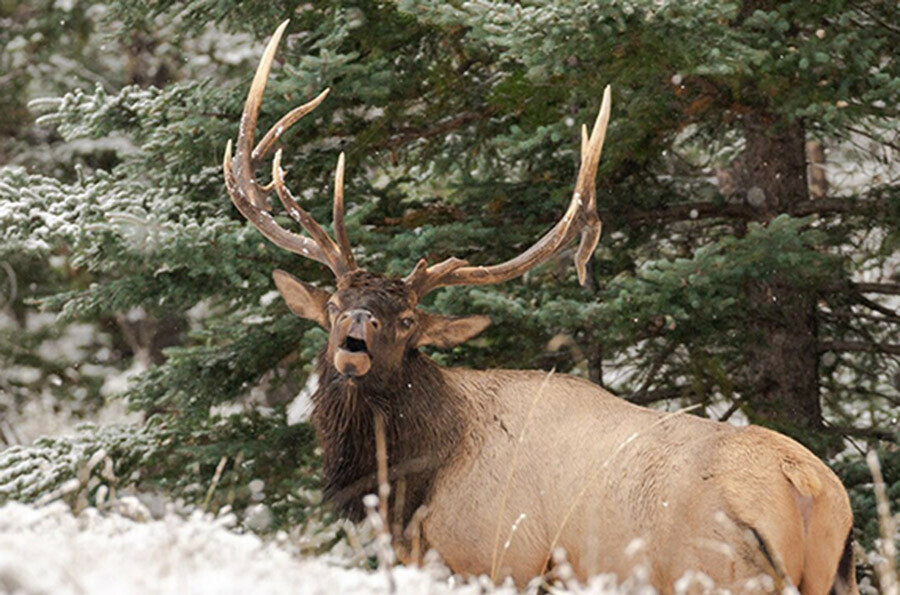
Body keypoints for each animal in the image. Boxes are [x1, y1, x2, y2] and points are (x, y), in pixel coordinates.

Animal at [225, 21, 856, 592]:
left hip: (717, 572)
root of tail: (806, 485)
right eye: (334, 303)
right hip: (832, 575)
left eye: (408, 322)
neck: (415, 481)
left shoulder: (498, 558)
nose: (355, 333)